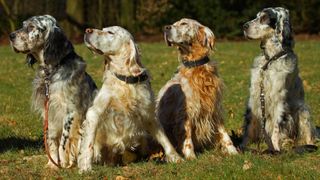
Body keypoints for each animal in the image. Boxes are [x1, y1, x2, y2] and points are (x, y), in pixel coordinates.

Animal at [10, 14, 97, 168]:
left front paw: (62, 164)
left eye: (31, 27)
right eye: (23, 24)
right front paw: (52, 164)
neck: (51, 72)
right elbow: (51, 141)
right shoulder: (49, 110)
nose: (11, 36)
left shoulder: (70, 111)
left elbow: (63, 142)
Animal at [77, 26, 182, 172]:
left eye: (110, 32)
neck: (125, 81)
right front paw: (85, 166)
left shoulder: (148, 114)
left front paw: (175, 157)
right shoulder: (94, 113)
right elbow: (89, 143)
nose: (87, 30)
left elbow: (164, 138)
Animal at [158, 18, 238, 159]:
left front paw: (232, 151)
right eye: (174, 23)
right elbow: (187, 137)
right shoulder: (186, 111)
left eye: (184, 23)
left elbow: (224, 133)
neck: (197, 67)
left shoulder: (215, 108)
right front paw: (190, 157)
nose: (165, 28)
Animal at [241, 7, 316, 153]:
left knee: (308, 135)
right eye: (257, 16)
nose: (244, 26)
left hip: (302, 110)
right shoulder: (254, 97)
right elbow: (249, 128)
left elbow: (276, 129)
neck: (270, 60)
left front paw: (275, 149)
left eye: (264, 18)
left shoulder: (279, 100)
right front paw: (242, 147)